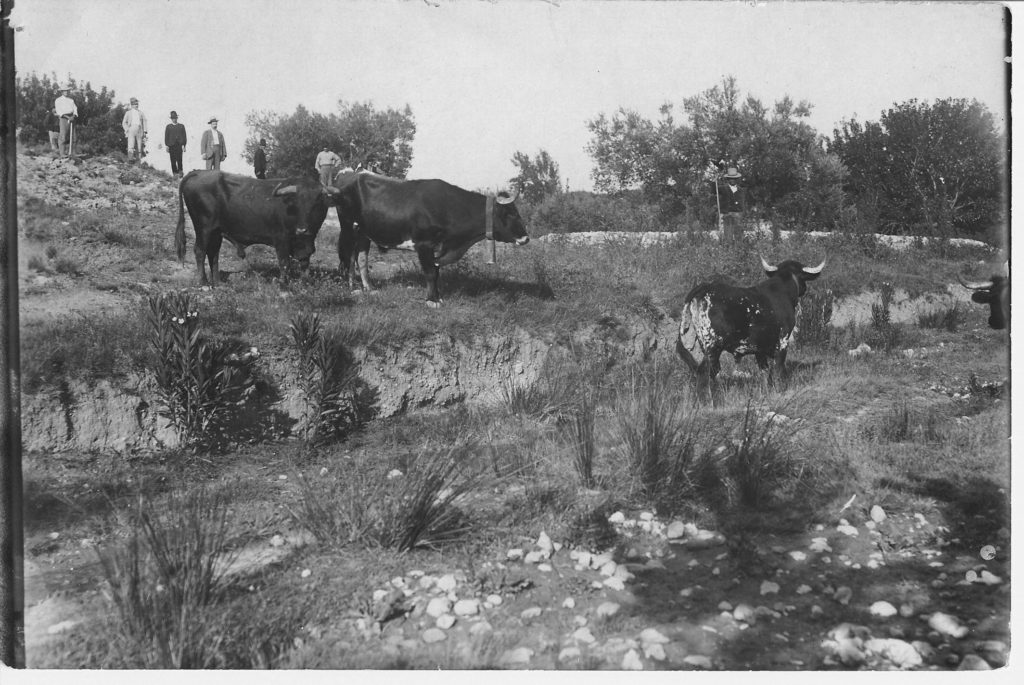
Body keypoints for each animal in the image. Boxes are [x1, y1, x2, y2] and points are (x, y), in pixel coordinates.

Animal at [675, 255, 827, 395]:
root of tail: (703, 288)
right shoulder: (783, 341)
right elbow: (779, 369)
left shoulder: (760, 349)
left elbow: (765, 372)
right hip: (712, 347)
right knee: (704, 373)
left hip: (699, 346)